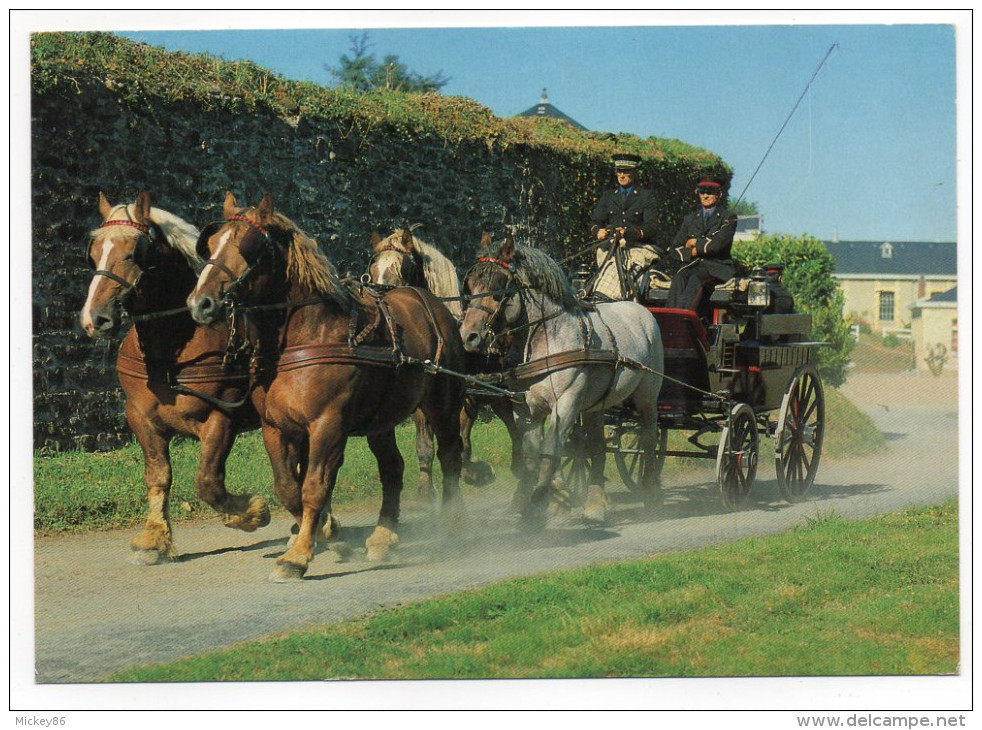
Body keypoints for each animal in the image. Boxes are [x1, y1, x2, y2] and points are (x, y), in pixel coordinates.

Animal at [79, 189, 270, 564]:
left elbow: (208, 482)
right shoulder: (142, 419)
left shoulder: (220, 417)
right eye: (94, 254)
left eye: (134, 252)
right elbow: (158, 476)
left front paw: (251, 513)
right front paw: (154, 538)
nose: (95, 319)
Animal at [189, 193, 468, 580]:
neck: (309, 333)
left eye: (248, 246)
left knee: (450, 456)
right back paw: (383, 536)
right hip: (380, 420)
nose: (201, 303)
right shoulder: (276, 427)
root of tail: (434, 306)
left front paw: (297, 556)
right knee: (392, 469)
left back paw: (453, 524)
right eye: (213, 243)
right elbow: (287, 487)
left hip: (442, 405)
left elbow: (314, 487)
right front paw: (325, 532)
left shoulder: (327, 425)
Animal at [460, 232, 660, 524]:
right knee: (597, 446)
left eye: (498, 288)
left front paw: (543, 501)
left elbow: (550, 454)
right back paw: (595, 504)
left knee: (648, 439)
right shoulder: (525, 411)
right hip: (595, 407)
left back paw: (651, 492)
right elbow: (533, 457)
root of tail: (641, 310)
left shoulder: (565, 404)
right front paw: (543, 502)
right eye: (471, 285)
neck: (546, 340)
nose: (469, 336)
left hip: (647, 397)